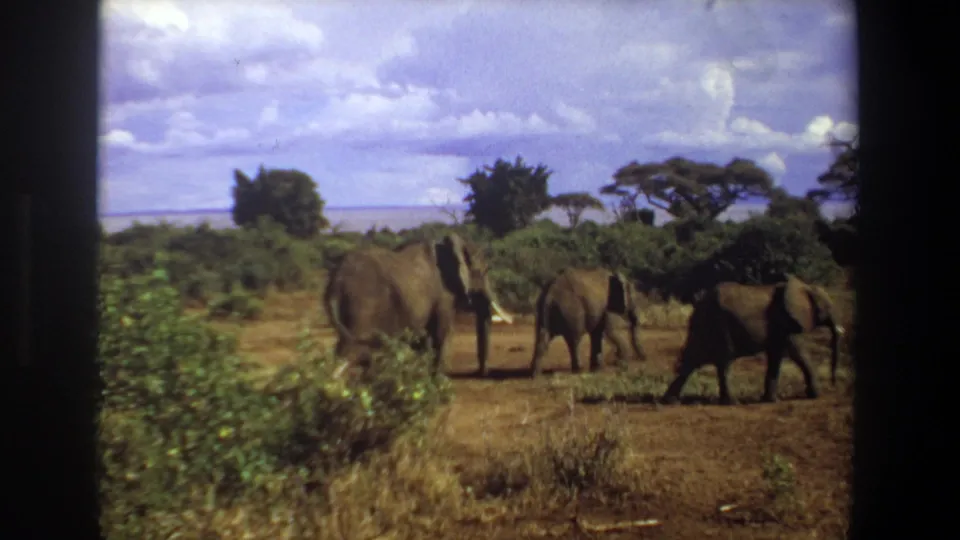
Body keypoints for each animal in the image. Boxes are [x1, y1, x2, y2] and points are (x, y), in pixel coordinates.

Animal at [323, 233, 515, 377]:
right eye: (483, 272)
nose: (483, 373)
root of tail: (335, 282)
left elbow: (426, 340)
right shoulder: (443, 295)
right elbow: (441, 334)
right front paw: (439, 381)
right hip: (363, 305)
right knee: (351, 351)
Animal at [661, 274, 845, 405]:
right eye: (827, 307)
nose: (833, 384)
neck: (806, 287)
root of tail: (699, 304)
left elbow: (776, 356)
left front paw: (771, 400)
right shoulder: (787, 321)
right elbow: (796, 352)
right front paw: (815, 396)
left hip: (705, 327)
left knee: (691, 360)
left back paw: (670, 402)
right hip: (720, 325)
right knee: (724, 363)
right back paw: (732, 403)